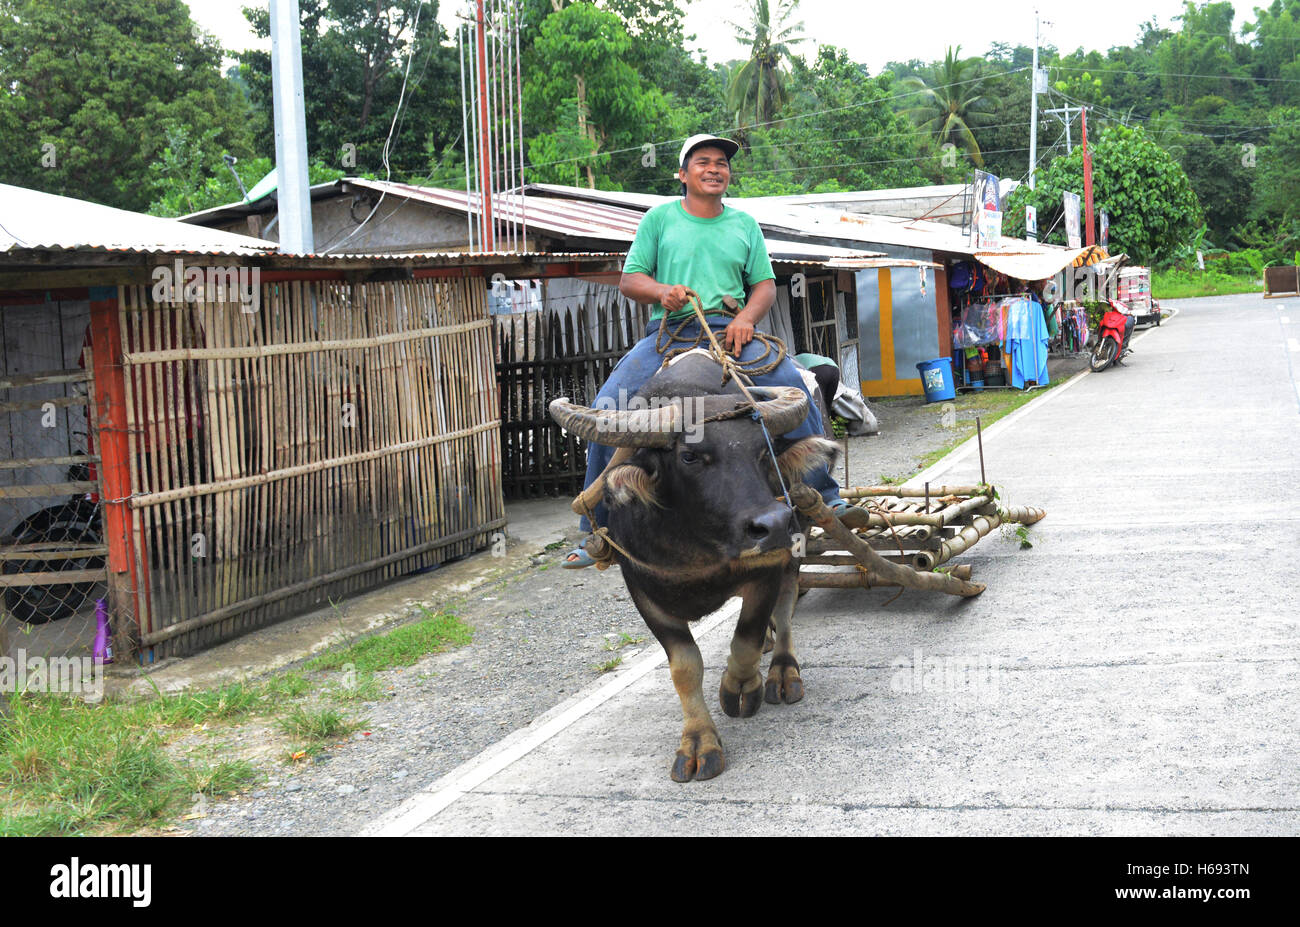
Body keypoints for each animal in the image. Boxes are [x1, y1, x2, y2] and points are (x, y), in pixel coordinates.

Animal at [546, 353, 832, 780]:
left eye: (764, 451)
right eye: (690, 456)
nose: (775, 524)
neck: (700, 544)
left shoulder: (768, 568)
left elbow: (745, 638)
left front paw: (739, 687)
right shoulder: (643, 591)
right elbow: (685, 666)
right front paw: (698, 741)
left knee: (785, 606)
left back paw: (782, 671)